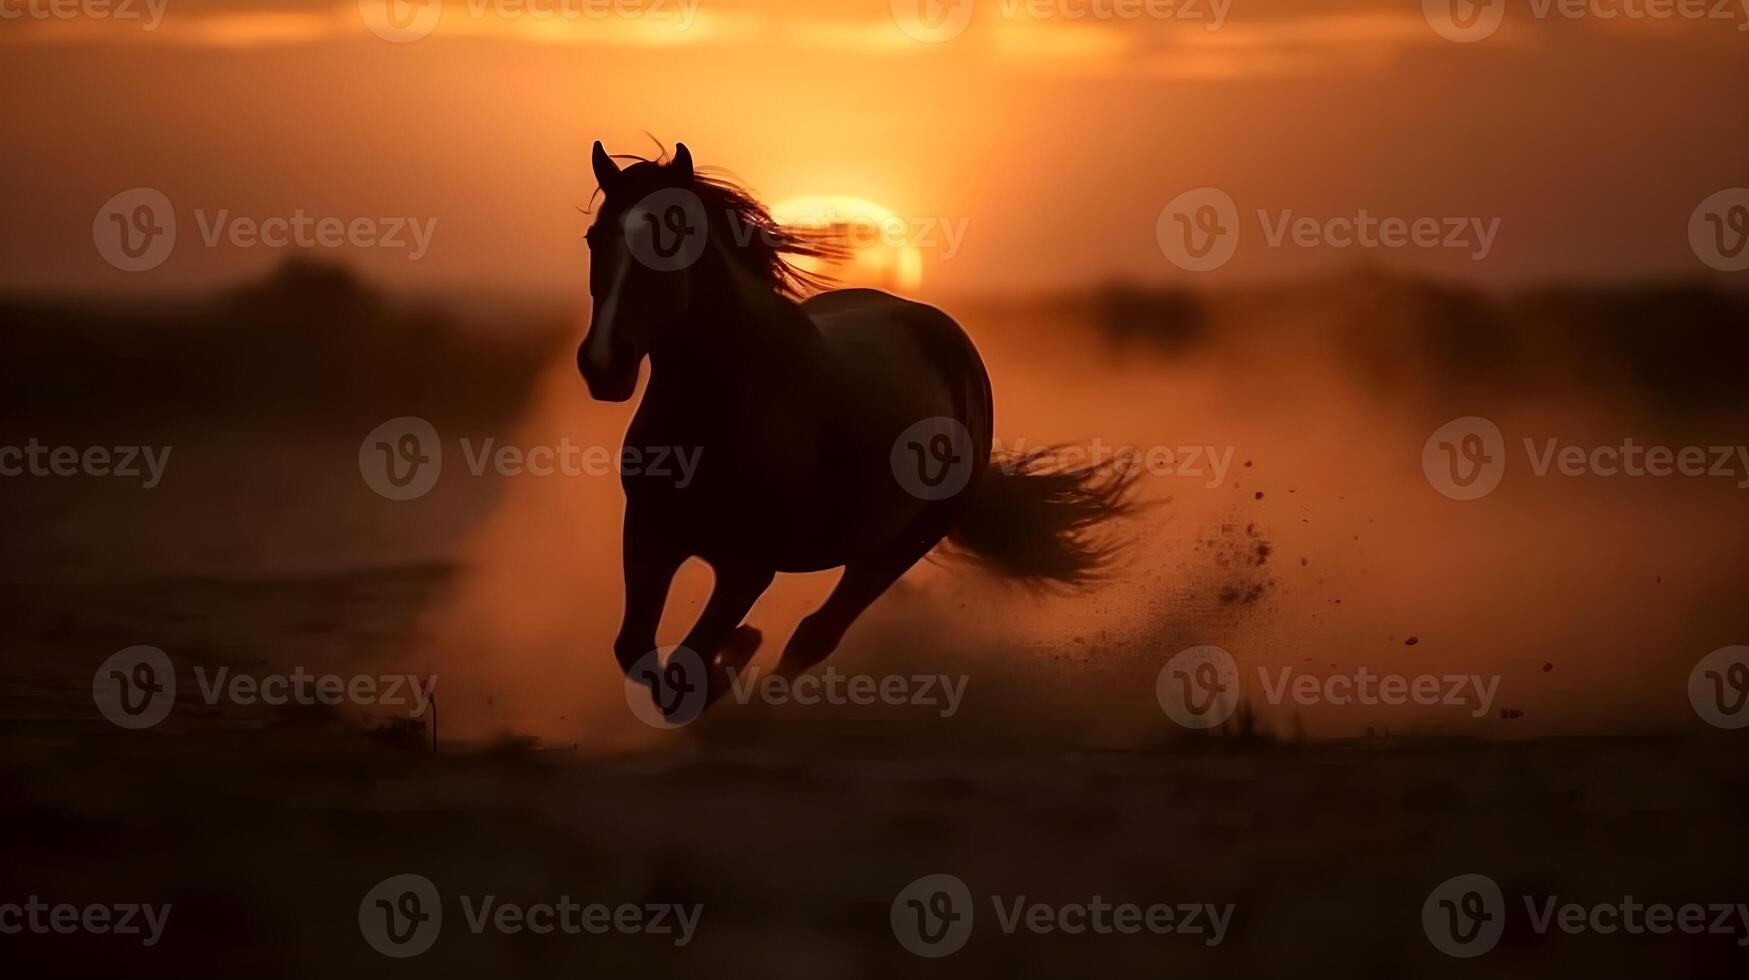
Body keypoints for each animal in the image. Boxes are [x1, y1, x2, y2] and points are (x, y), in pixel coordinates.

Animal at [580, 140, 1133, 721]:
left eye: (671, 241)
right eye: (595, 238)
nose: (603, 365)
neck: (721, 412)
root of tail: (947, 338)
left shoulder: (748, 568)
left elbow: (685, 670)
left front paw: (731, 660)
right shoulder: (649, 534)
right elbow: (634, 649)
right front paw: (728, 658)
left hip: (897, 547)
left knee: (815, 635)